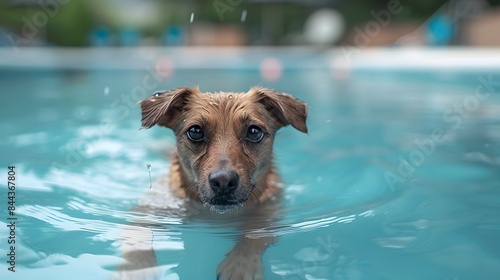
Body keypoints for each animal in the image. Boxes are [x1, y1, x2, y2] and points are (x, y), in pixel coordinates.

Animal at [115, 86, 306, 278]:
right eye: (195, 131)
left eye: (254, 131)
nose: (223, 181)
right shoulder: (147, 211)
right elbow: (138, 235)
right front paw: (137, 269)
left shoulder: (270, 213)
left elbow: (256, 232)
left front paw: (241, 264)